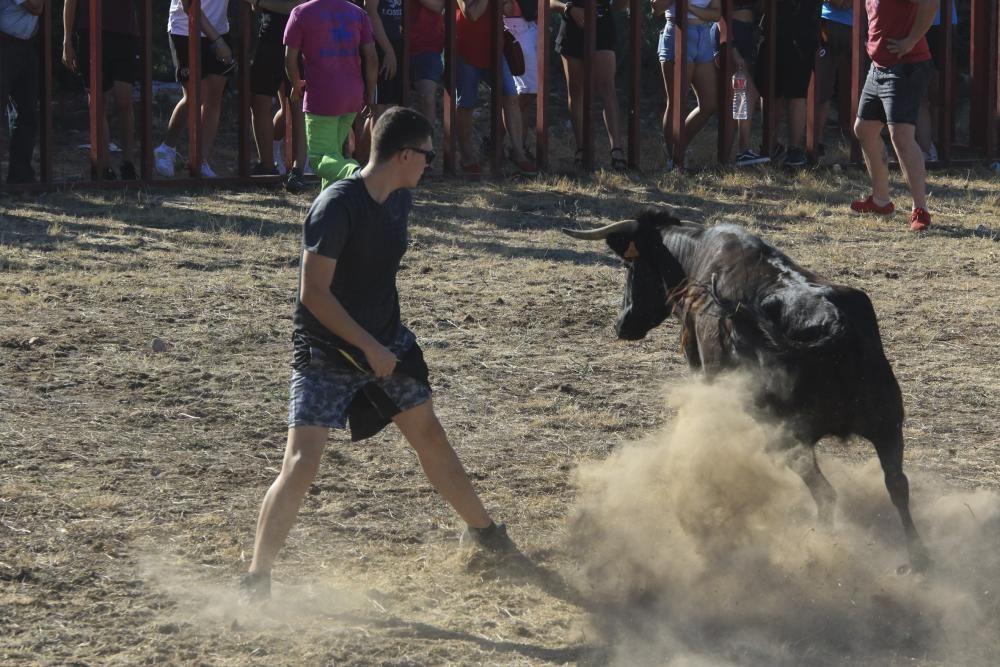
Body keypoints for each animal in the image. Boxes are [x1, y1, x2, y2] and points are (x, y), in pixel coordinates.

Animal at [568, 210, 932, 576]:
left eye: (630, 266)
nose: (621, 324)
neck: (694, 253)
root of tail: (834, 325)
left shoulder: (698, 361)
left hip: (789, 436)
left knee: (827, 493)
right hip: (887, 425)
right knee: (897, 485)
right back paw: (916, 559)